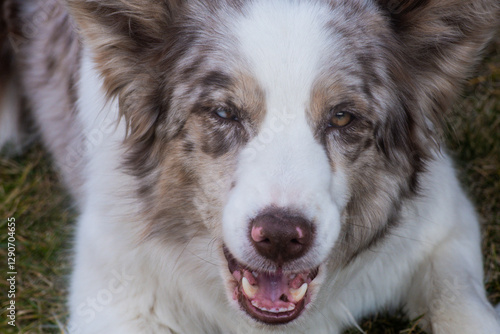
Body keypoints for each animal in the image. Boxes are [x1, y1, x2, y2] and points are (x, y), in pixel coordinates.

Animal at [0, 0, 500, 332]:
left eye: (342, 117)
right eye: (223, 113)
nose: (279, 237)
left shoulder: (445, 226)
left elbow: (462, 305)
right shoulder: (115, 294)